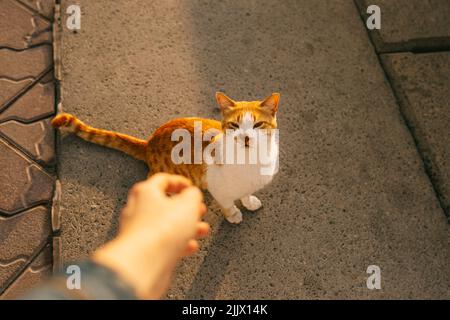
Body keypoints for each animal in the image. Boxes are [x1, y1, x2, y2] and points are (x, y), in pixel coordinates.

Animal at [51, 91, 278, 224]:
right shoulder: (218, 188)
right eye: (234, 126)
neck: (250, 162)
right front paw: (233, 215)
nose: (246, 137)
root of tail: (149, 143)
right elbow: (228, 203)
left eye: (258, 125)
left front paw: (248, 202)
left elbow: (246, 193)